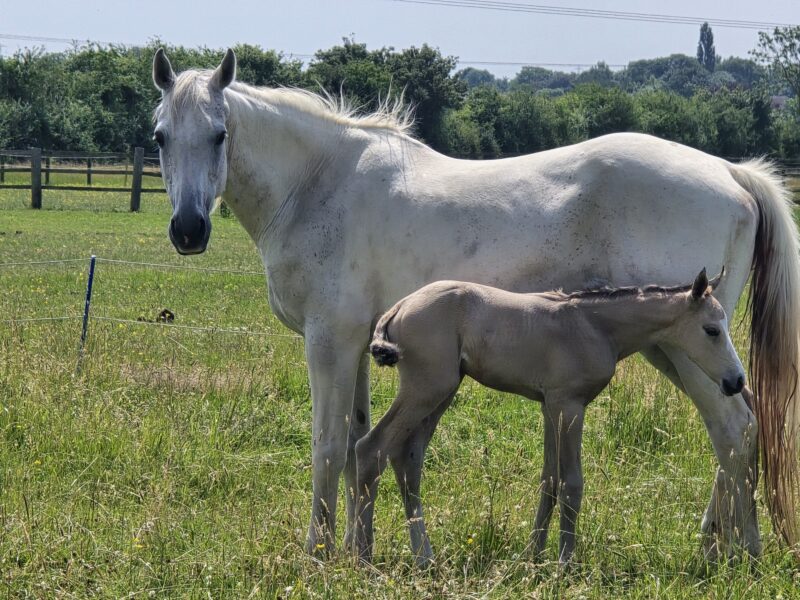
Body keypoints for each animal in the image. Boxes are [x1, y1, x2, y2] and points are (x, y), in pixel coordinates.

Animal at [355, 269, 744, 565]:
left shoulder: (549, 406)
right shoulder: (569, 405)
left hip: (440, 393)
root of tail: (400, 306)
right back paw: (363, 557)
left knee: (407, 458)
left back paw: (424, 556)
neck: (593, 326)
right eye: (712, 329)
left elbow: (549, 481)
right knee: (370, 448)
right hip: (426, 389)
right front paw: (564, 563)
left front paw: (533, 556)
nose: (736, 381)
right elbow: (572, 483)